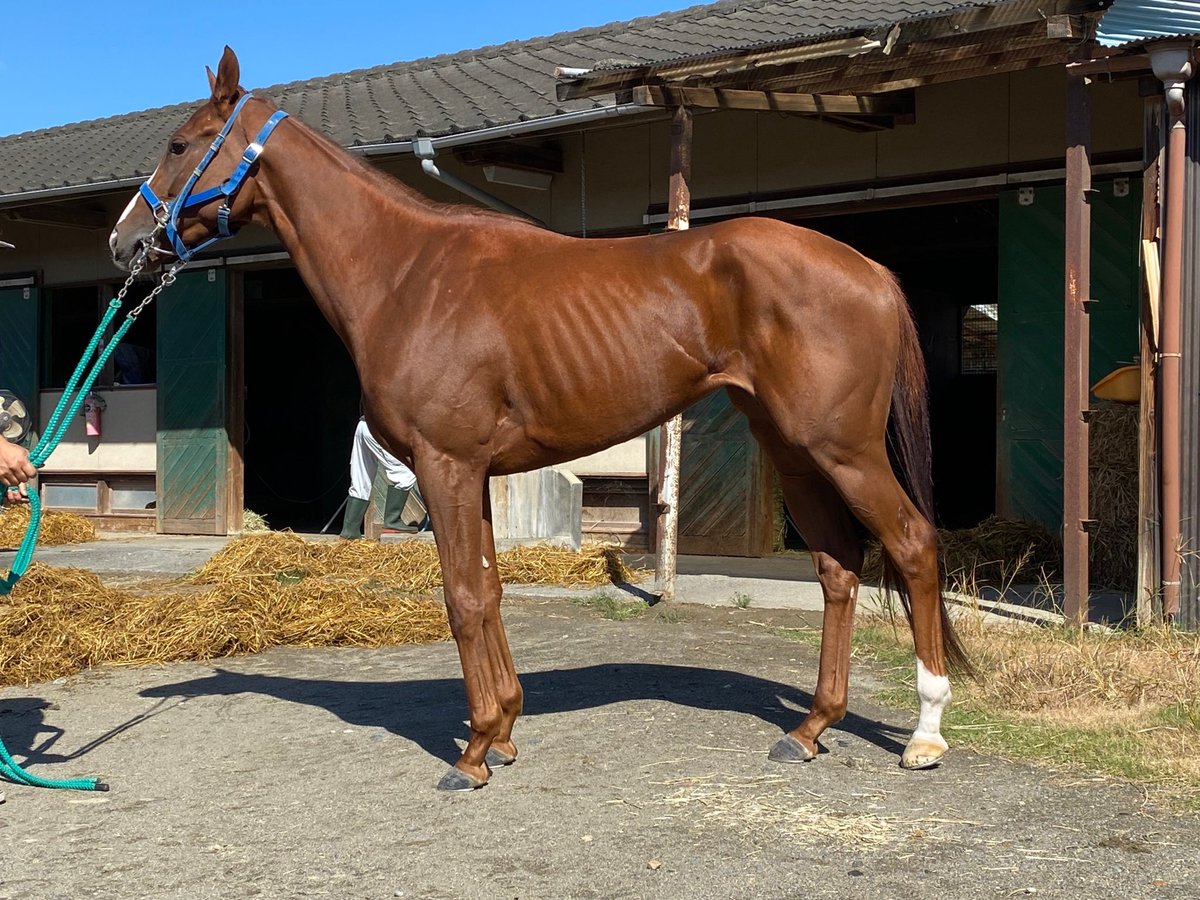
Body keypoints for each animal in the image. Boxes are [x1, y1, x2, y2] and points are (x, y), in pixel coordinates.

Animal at [110, 47, 969, 792]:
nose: (126, 242)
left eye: (181, 144)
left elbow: (461, 598)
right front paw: (503, 730)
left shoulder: (445, 466)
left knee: (913, 545)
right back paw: (811, 729)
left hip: (843, 450)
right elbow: (489, 590)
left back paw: (926, 734)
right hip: (795, 452)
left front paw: (472, 754)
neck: (406, 274)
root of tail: (869, 270)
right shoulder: (472, 474)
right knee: (838, 569)